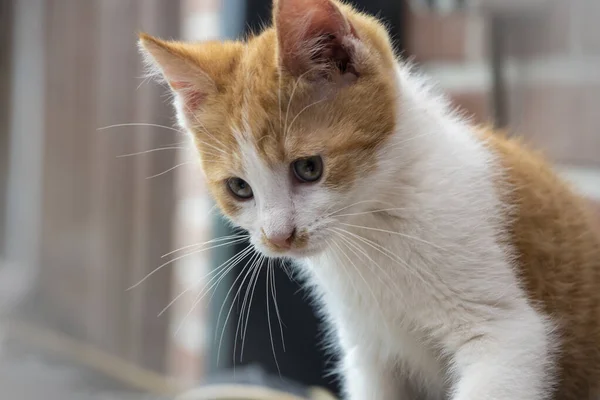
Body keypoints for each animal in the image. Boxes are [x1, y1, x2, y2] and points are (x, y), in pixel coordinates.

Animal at [138, 1, 600, 398]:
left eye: (309, 168)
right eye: (239, 188)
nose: (278, 237)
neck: (371, 226)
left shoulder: (507, 336)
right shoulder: (368, 353)